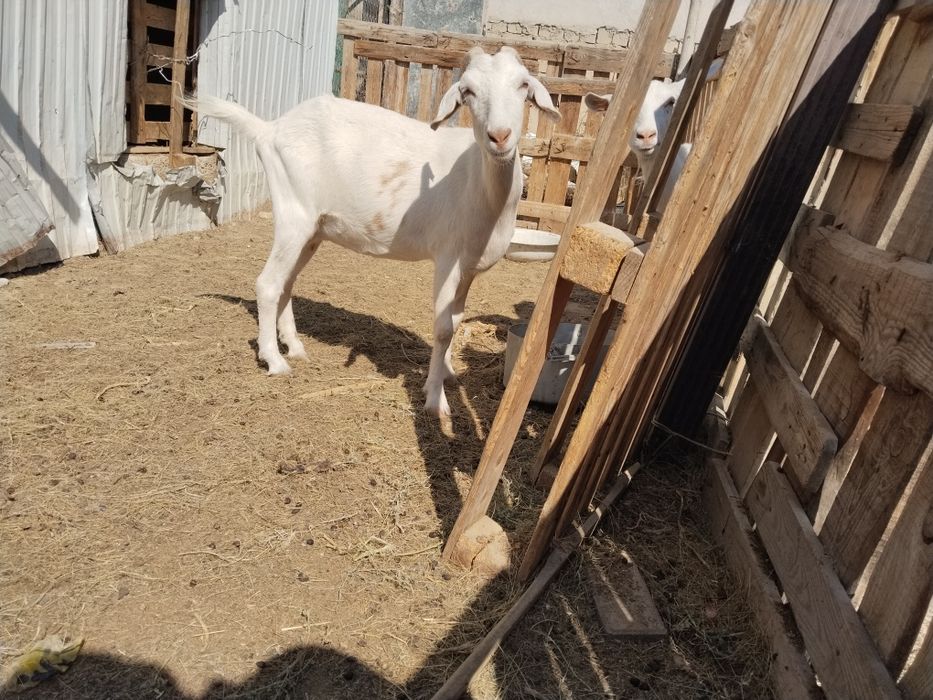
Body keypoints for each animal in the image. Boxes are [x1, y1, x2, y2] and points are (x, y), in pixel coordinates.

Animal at [188, 46, 560, 417]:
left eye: (523, 85)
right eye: (467, 91)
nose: (500, 136)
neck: (478, 181)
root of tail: (269, 130)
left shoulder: (468, 267)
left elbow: (456, 320)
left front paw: (448, 373)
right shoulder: (448, 258)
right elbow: (442, 328)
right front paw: (434, 399)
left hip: (313, 230)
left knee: (286, 283)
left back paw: (293, 345)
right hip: (294, 214)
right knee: (267, 284)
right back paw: (275, 360)